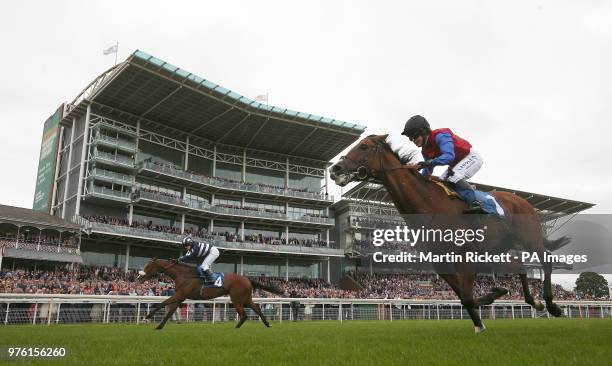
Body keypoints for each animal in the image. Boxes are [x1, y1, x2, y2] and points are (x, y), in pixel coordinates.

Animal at [137, 258, 284, 332]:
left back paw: (236, 327)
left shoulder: (180, 294)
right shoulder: (181, 297)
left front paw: (147, 317)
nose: (139, 278)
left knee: (244, 315)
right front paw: (159, 326)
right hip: (246, 299)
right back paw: (267, 324)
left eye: (148, 267)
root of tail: (247, 279)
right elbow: (169, 312)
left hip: (237, 299)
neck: (183, 275)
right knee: (257, 308)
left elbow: (163, 303)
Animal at [330, 136, 568, 334]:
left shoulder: (466, 255)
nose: (335, 168)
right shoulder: (440, 261)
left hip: (529, 239)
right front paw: (489, 304)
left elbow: (467, 296)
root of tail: (522, 200)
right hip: (496, 250)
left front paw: (486, 309)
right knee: (520, 267)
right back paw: (533, 301)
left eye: (363, 146)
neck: (429, 204)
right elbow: (464, 296)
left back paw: (551, 305)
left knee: (546, 261)